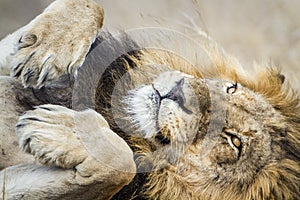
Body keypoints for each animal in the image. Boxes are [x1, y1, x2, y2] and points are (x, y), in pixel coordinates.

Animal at [0, 0, 300, 200]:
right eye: (231, 88)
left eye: (234, 142)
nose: (179, 90)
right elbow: (94, 8)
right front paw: (48, 46)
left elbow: (124, 162)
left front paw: (56, 129)